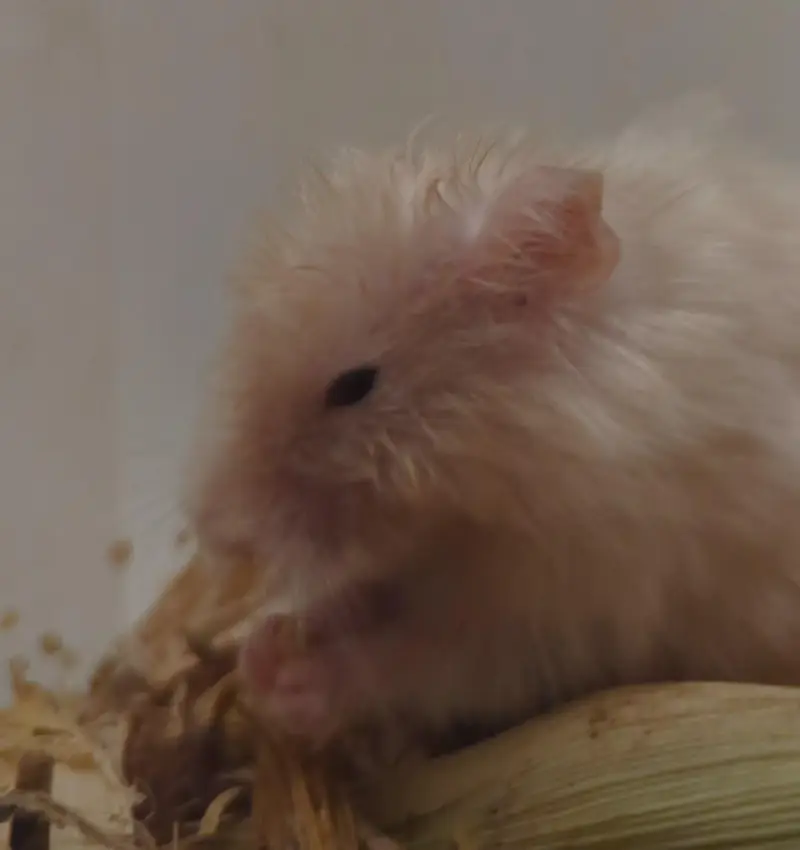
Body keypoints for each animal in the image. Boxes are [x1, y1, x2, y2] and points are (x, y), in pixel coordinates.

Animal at [187, 98, 800, 758]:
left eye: (353, 386)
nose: (213, 532)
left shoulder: (564, 608)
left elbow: (418, 660)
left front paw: (282, 679)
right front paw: (263, 644)